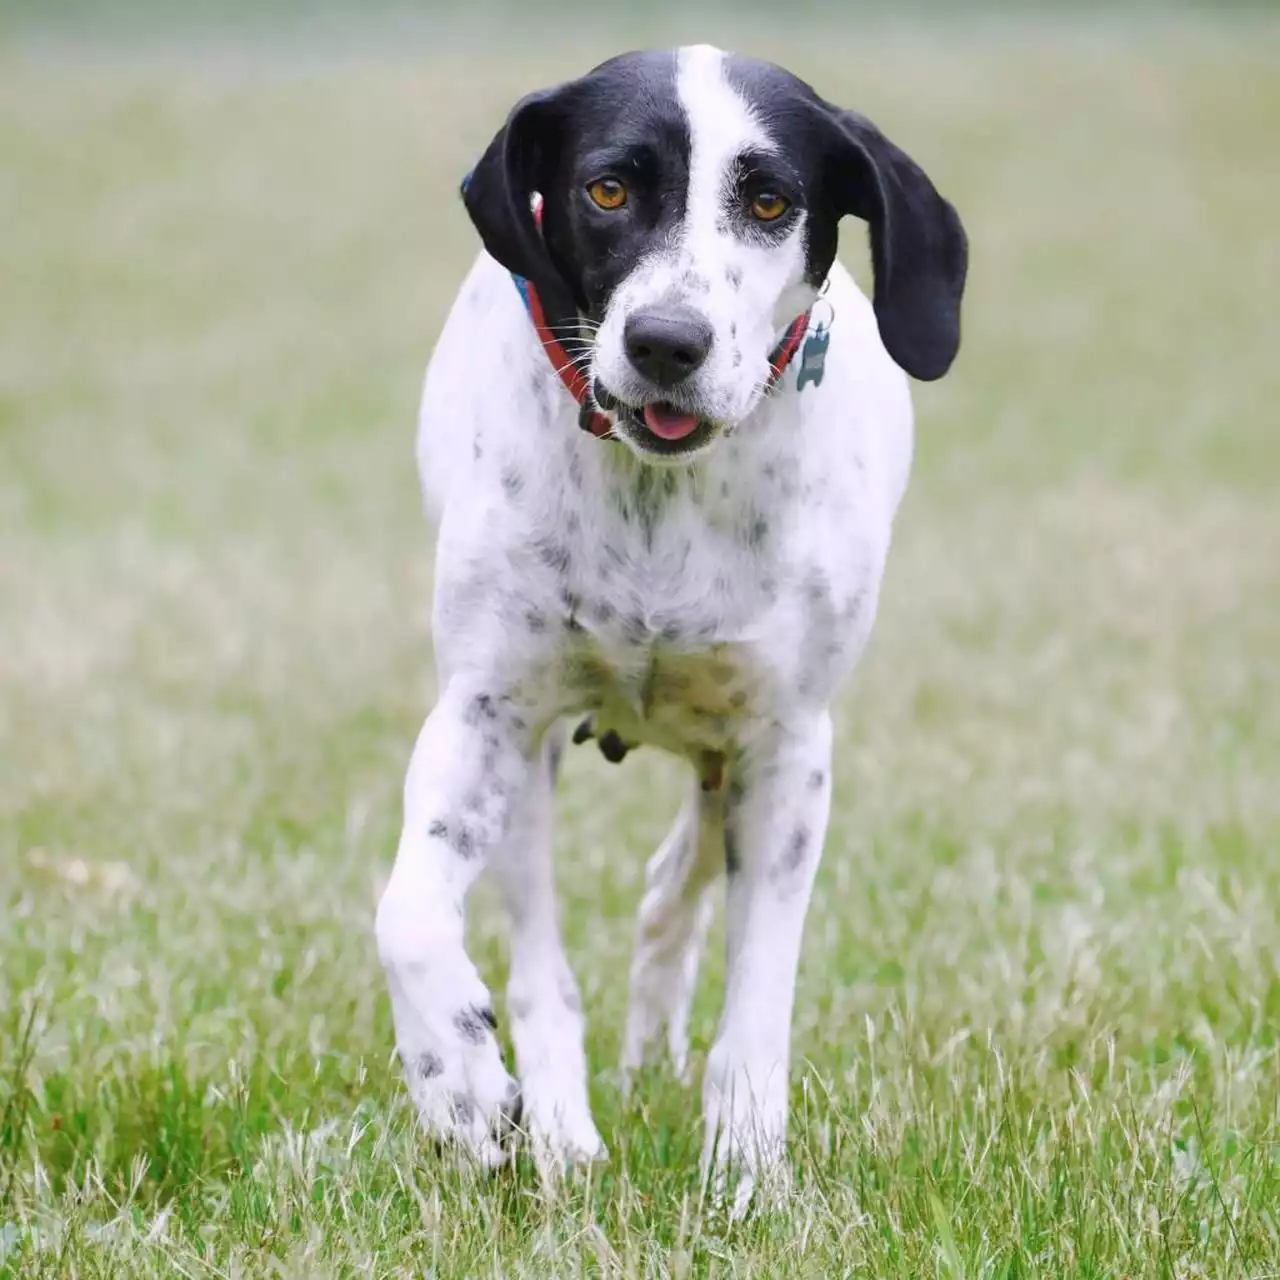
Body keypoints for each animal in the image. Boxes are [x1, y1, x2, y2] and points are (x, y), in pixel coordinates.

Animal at [373, 40, 962, 1198]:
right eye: (607, 189)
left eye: (770, 200)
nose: (665, 342)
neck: (659, 489)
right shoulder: (481, 715)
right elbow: (409, 917)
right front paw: (459, 1084)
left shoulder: (787, 753)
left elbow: (759, 997)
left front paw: (747, 1165)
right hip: (533, 772)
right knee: (544, 957)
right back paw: (560, 1123)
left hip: (724, 761)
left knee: (669, 888)